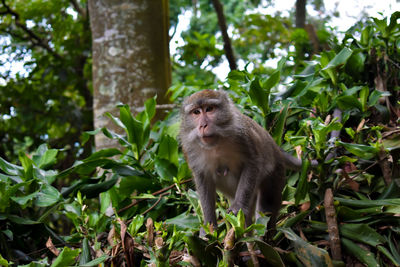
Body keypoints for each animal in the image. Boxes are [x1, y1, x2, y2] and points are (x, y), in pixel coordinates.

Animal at [180, 89, 304, 234]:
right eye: (196, 112)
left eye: (209, 109)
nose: (203, 125)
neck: (216, 144)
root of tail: (276, 148)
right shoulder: (189, 149)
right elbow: (203, 179)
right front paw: (209, 225)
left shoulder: (242, 136)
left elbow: (252, 162)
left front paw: (237, 207)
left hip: (276, 172)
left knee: (267, 206)